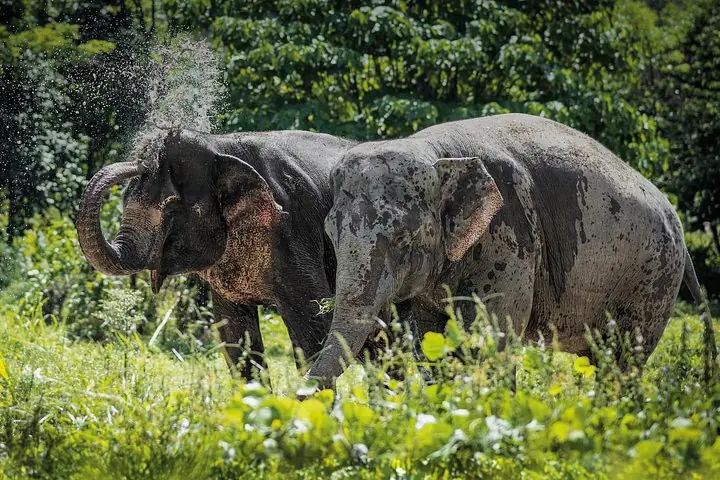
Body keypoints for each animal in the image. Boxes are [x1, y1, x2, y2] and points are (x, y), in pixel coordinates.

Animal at [76, 128, 358, 380]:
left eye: (171, 209)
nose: (141, 162)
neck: (218, 146)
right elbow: (235, 337)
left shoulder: (294, 230)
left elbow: (315, 328)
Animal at [307, 113, 716, 387]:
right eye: (330, 234)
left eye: (404, 239)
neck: (437, 153)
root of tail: (674, 217)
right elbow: (431, 338)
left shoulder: (511, 238)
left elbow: (492, 338)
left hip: (653, 277)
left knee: (624, 358)